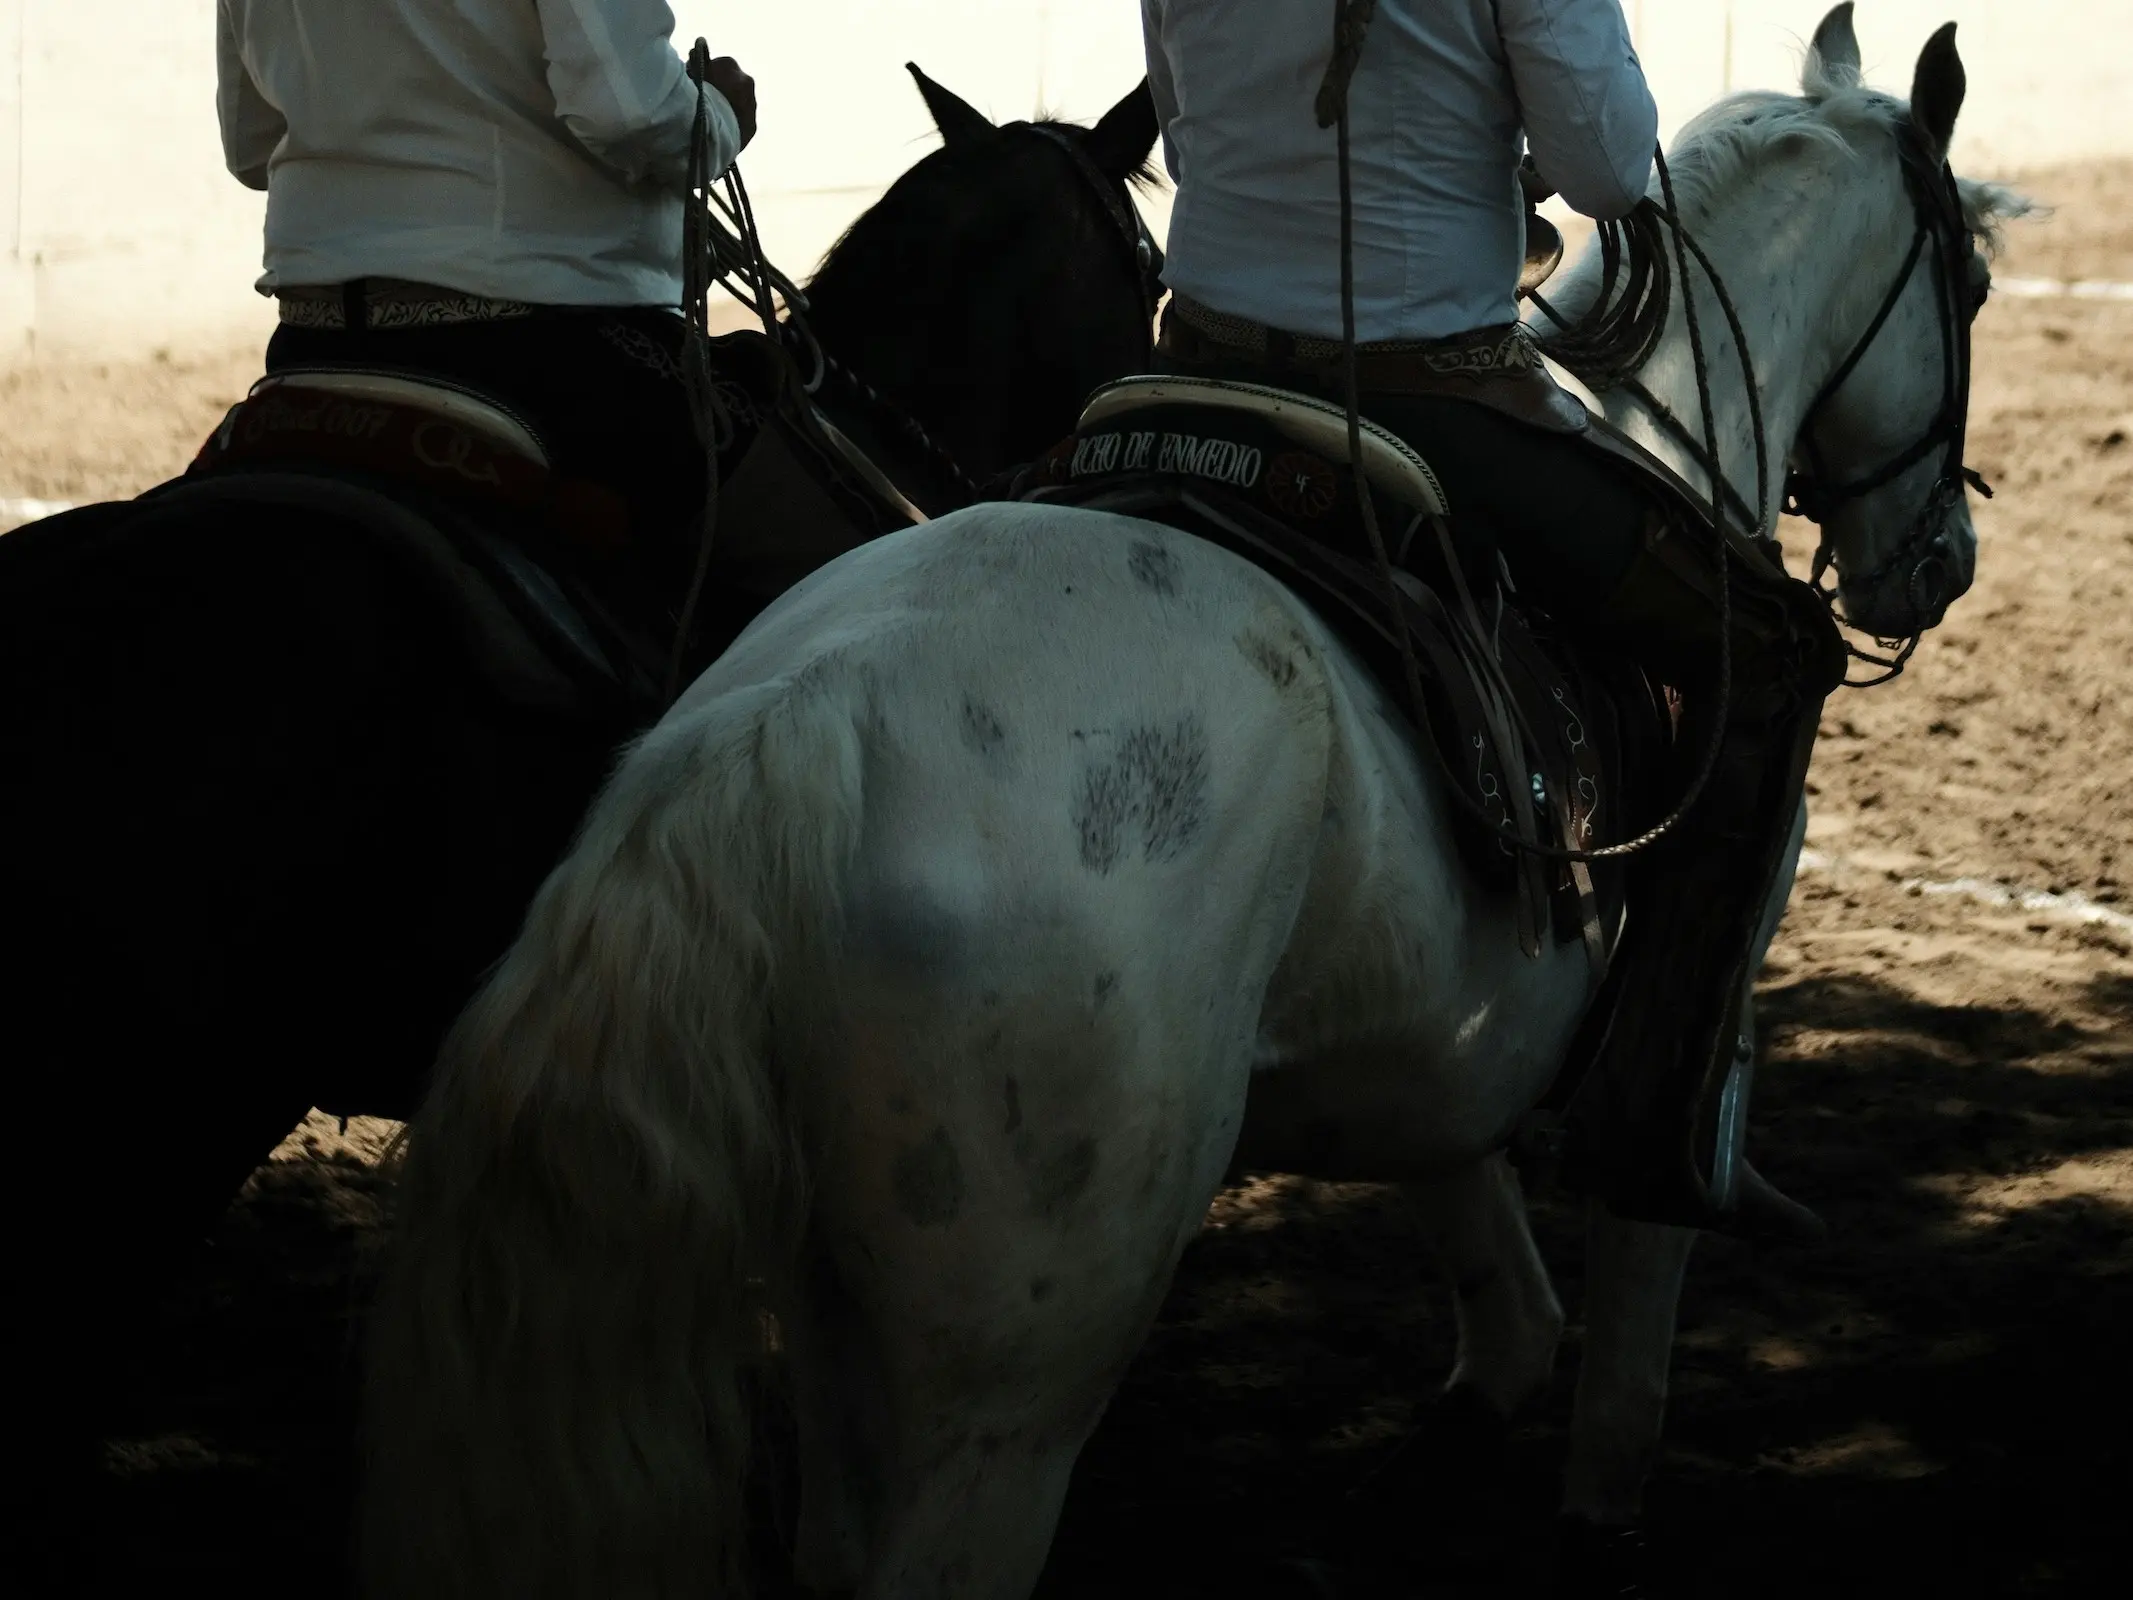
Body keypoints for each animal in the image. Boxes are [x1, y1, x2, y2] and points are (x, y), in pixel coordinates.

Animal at [358, 9, 2022, 1595]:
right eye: (1974, 283)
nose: (1934, 560)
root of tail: (798, 729)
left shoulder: (1442, 1049)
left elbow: (1503, 1301)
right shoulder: (1688, 1030)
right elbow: (1621, 1354)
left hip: (848, 1317)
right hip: (1011, 1378)